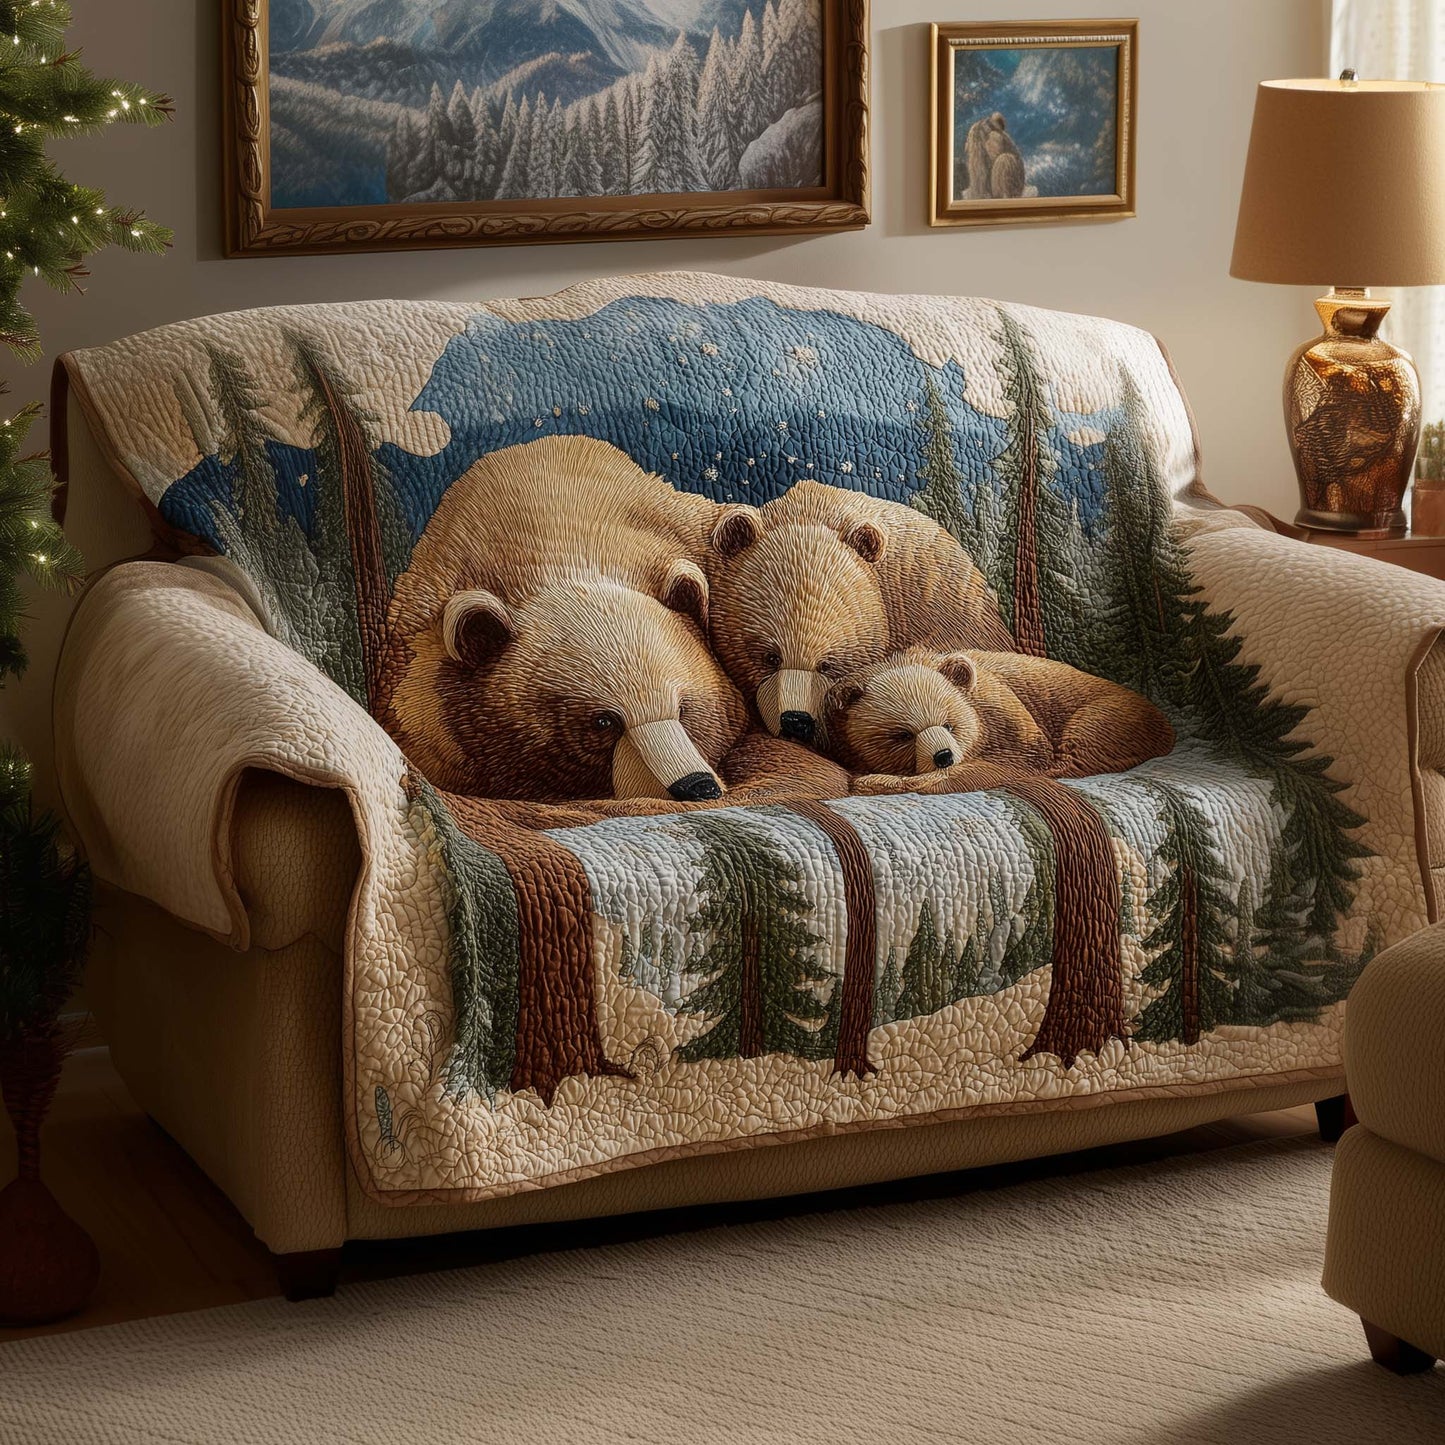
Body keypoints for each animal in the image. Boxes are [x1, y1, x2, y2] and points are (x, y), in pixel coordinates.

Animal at [825, 647, 1175, 794]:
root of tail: (1165, 726)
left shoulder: (1003, 711)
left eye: (950, 724)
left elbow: (1013, 762)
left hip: (1105, 715)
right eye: (902, 734)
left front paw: (876, 781)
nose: (943, 756)